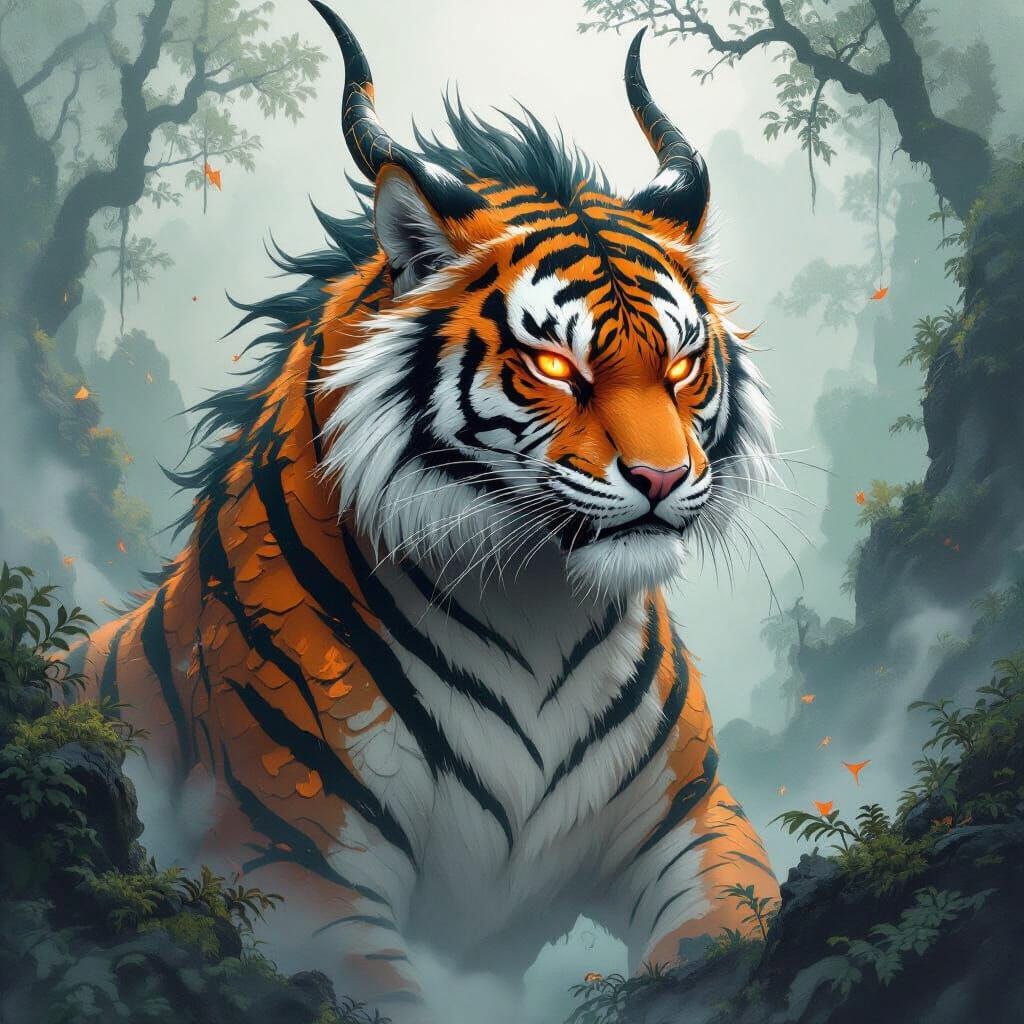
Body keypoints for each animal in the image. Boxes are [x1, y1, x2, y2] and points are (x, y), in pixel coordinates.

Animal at [71, 3, 780, 1019]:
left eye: (682, 362)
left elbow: (725, 932)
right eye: (556, 365)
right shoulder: (294, 862)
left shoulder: (694, 822)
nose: (661, 477)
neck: (538, 607)